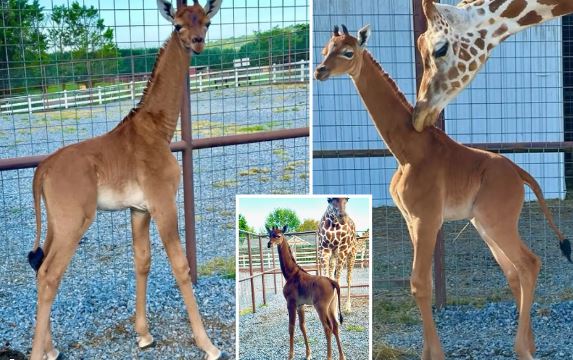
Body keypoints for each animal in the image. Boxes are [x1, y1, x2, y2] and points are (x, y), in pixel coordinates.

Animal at [25, 0, 228, 360]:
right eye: (177, 25)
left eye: (205, 21)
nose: (198, 42)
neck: (158, 129)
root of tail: (43, 169)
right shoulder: (163, 203)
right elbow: (181, 266)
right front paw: (208, 345)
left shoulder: (139, 209)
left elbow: (142, 261)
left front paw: (144, 335)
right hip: (74, 222)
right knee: (49, 274)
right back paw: (40, 352)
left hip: (55, 224)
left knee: (39, 268)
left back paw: (51, 349)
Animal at [268, 225, 344, 360]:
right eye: (269, 234)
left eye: (278, 235)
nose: (269, 244)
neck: (290, 274)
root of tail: (332, 282)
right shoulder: (300, 305)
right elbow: (302, 326)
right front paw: (308, 354)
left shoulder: (291, 303)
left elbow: (291, 327)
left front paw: (290, 356)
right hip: (332, 306)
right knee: (335, 326)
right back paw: (342, 357)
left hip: (321, 307)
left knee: (327, 328)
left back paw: (329, 357)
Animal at [316, 23, 568, 358]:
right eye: (324, 50)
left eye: (347, 52)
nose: (319, 71)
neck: (408, 151)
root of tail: (519, 174)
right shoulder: (411, 220)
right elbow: (424, 285)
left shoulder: (427, 219)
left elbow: (420, 283)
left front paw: (435, 353)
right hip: (483, 225)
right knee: (514, 272)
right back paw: (530, 343)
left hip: (497, 223)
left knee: (529, 263)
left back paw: (522, 348)